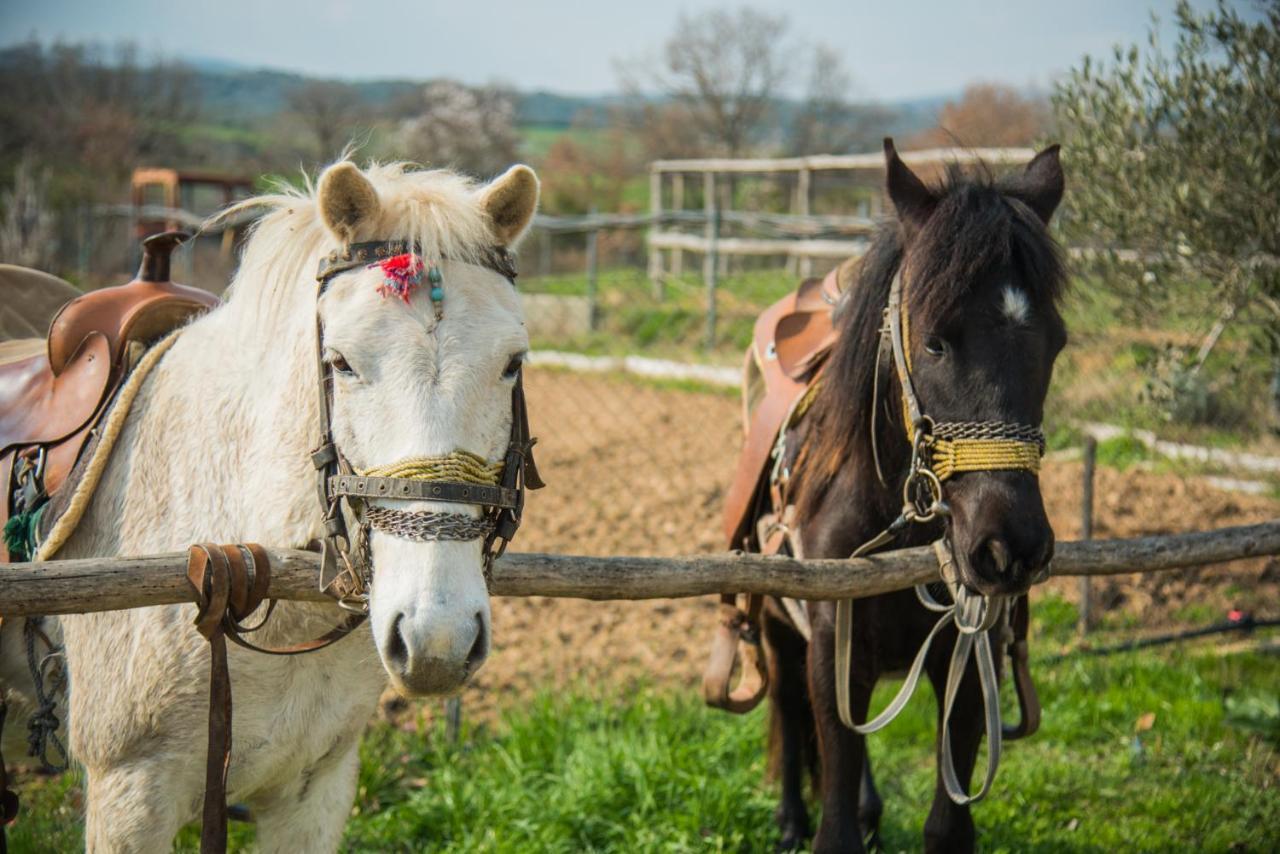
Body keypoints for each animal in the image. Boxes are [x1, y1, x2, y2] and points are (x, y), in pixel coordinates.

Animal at [757, 143, 1070, 850]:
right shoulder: (830, 645)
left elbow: (947, 825)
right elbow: (835, 815)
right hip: (775, 625)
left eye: (1056, 343)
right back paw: (788, 818)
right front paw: (818, 821)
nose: (1010, 546)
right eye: (934, 339)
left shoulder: (969, 653)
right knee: (787, 705)